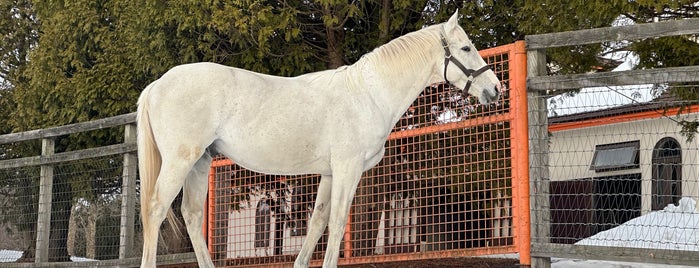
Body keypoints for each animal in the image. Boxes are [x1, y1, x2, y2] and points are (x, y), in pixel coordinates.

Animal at [137, 10, 500, 268]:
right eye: (466, 48)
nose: (495, 89)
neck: (367, 94)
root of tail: (156, 85)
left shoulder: (328, 173)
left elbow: (317, 222)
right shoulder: (347, 169)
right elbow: (337, 222)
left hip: (200, 162)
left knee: (192, 215)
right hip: (181, 160)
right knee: (156, 210)